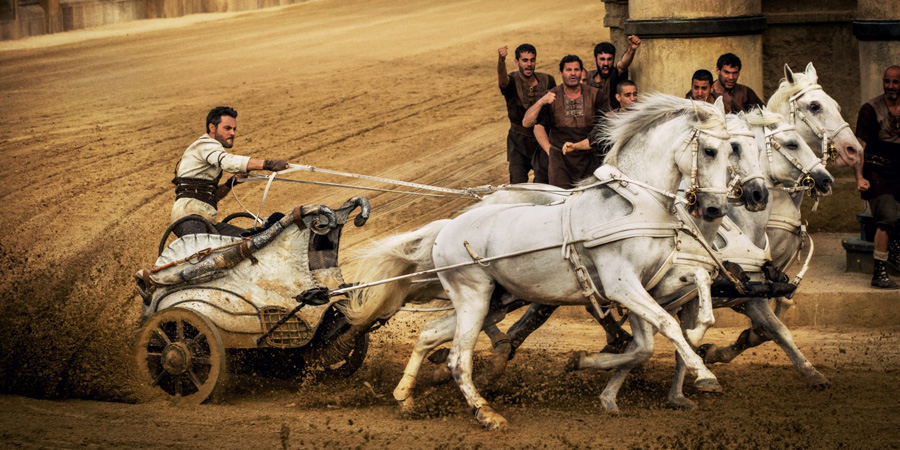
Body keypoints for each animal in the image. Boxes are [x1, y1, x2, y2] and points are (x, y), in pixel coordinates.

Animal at [345, 94, 739, 429]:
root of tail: (446, 227)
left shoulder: (651, 283)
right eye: (709, 150)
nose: (715, 209)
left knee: (429, 334)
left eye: (731, 151)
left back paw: (404, 397)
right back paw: (486, 414)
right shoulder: (622, 285)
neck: (635, 204)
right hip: (473, 298)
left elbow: (685, 297)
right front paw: (704, 373)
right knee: (458, 358)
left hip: (493, 302)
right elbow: (665, 326)